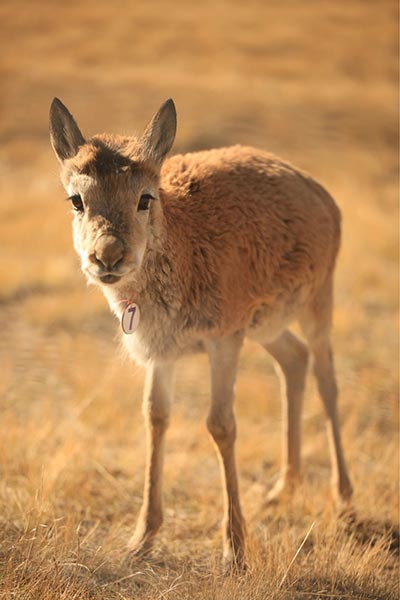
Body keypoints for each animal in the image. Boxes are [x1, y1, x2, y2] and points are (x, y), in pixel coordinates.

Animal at [48, 97, 352, 568]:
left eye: (144, 197)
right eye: (77, 199)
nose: (108, 256)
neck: (185, 247)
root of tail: (322, 193)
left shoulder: (223, 339)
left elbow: (221, 425)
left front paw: (236, 547)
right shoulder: (161, 351)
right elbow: (155, 418)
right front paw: (141, 538)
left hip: (317, 301)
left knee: (327, 378)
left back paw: (342, 494)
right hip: (266, 326)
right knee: (294, 360)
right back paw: (282, 489)